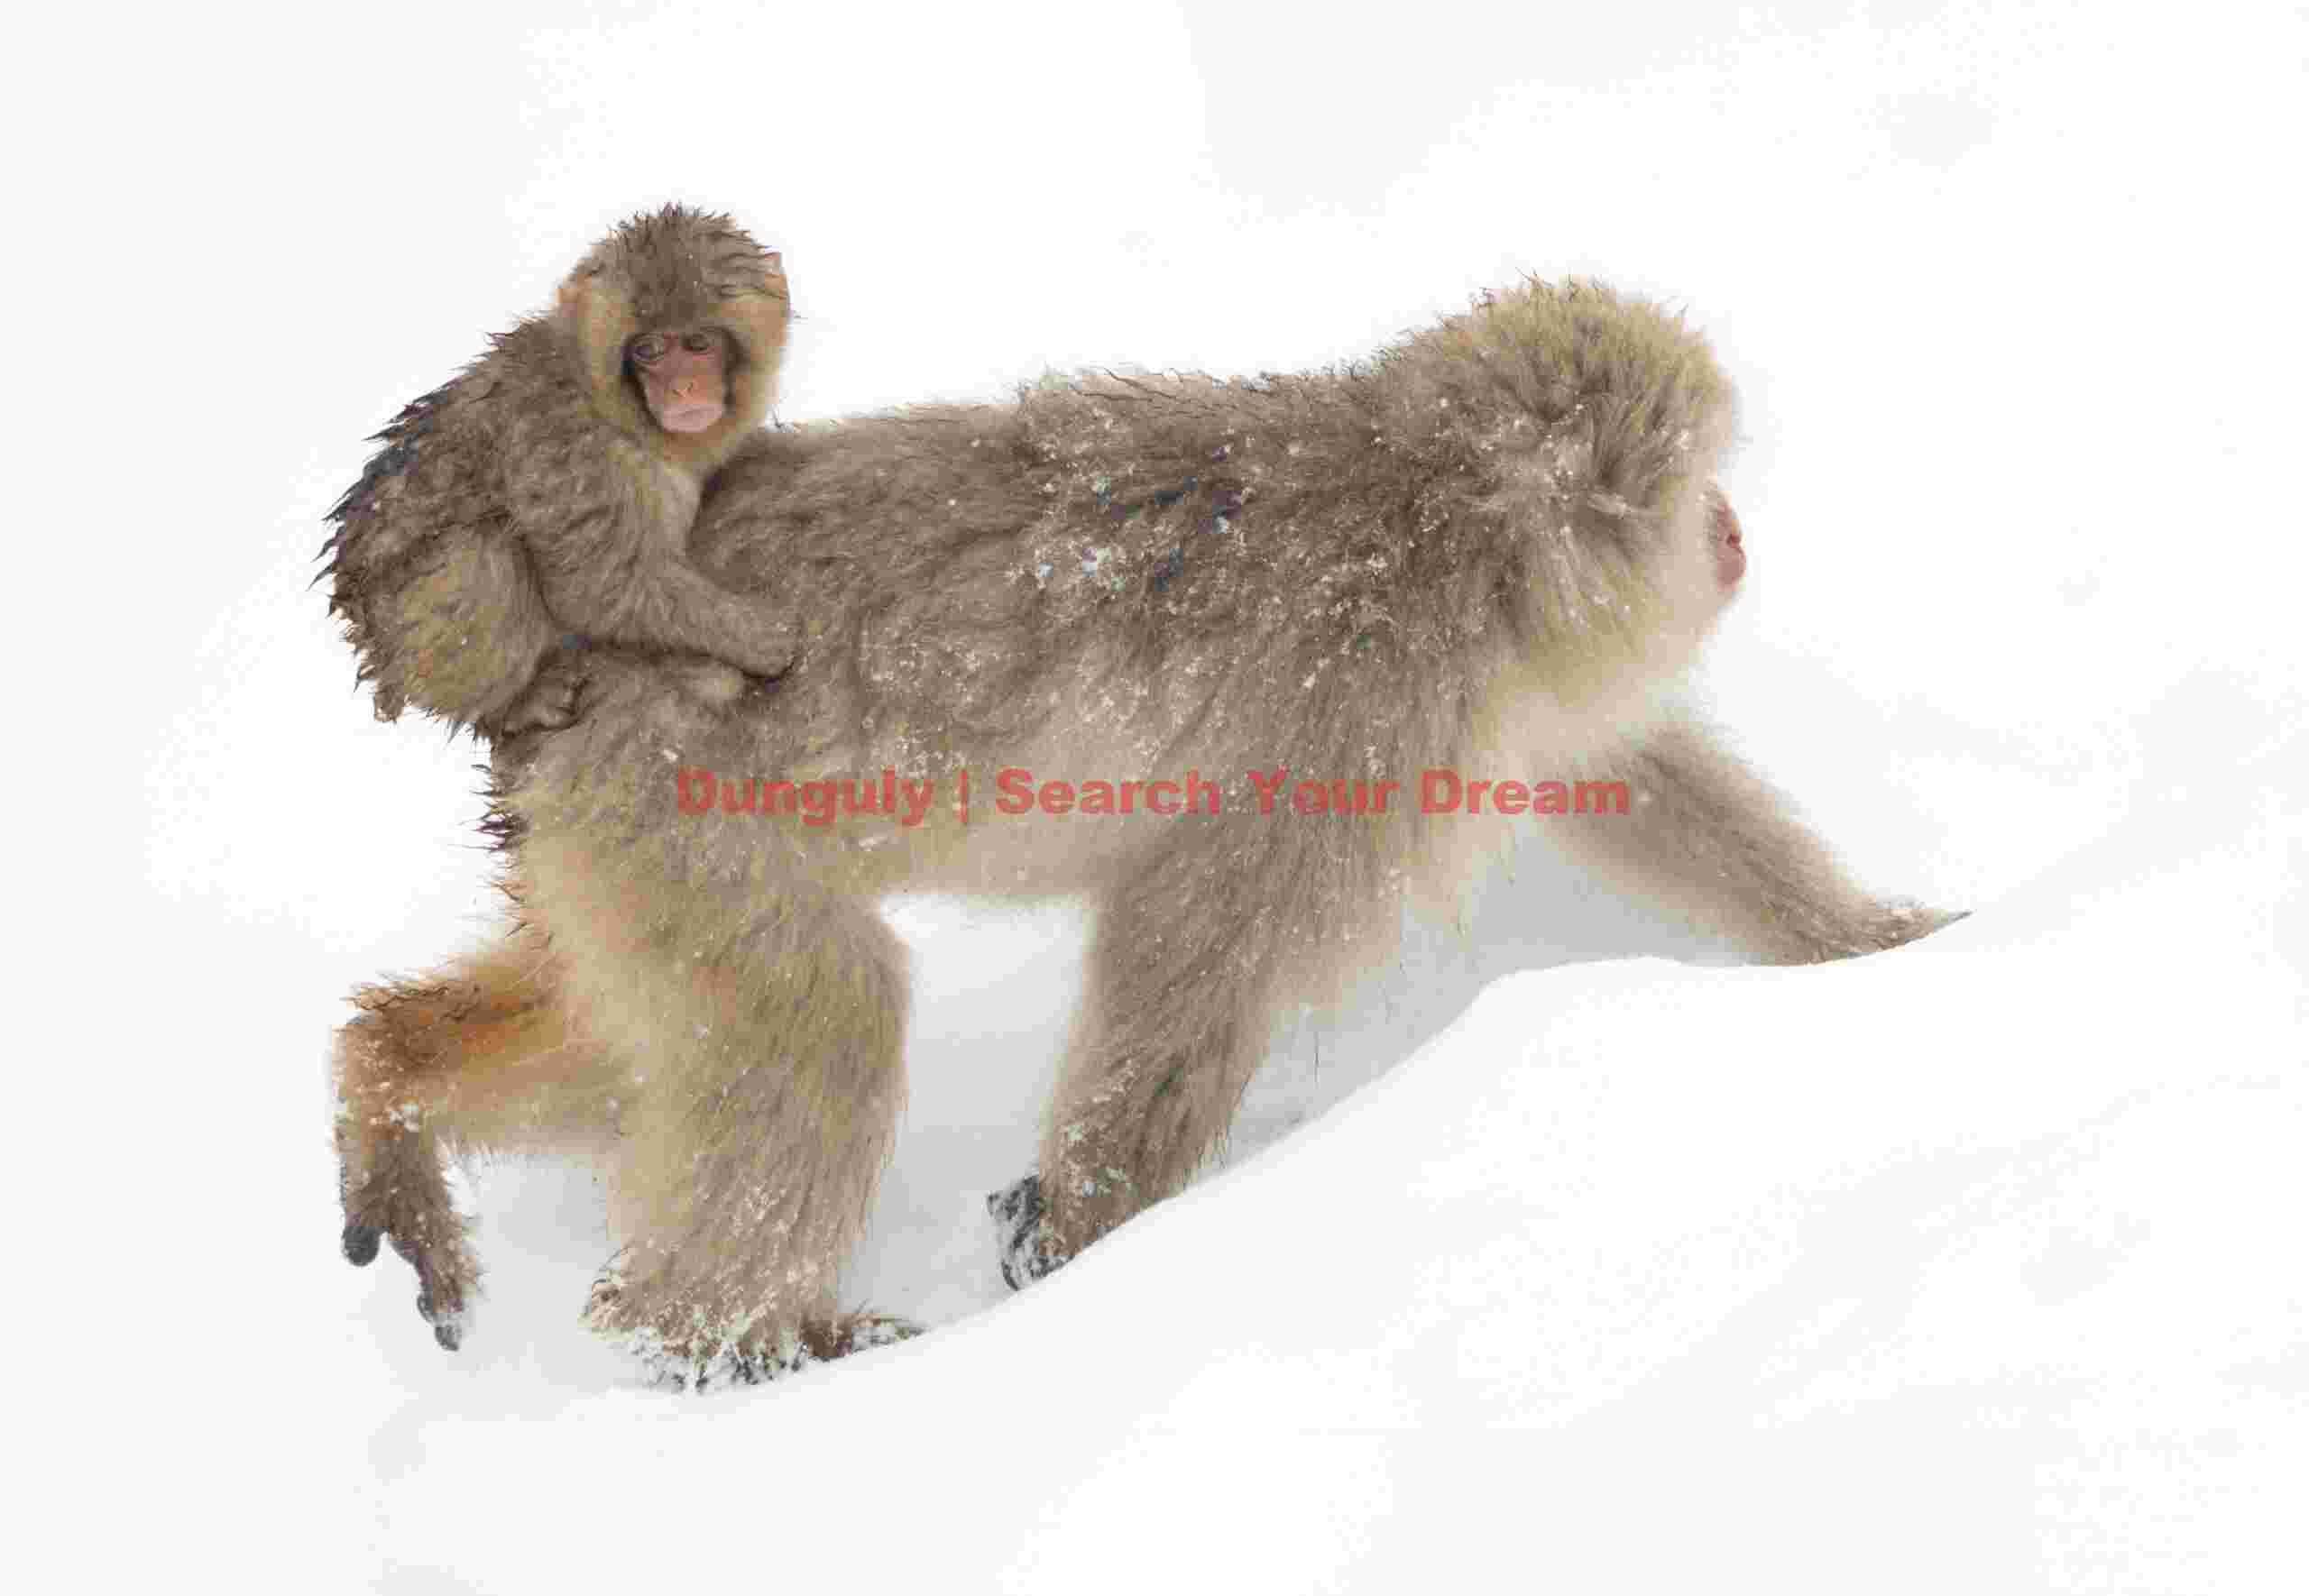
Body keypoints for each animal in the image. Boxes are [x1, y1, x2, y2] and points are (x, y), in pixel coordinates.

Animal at [327, 215, 1960, 1388]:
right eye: (1689, 491)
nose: (1734, 536)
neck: (1442, 526)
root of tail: (558, 670)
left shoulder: (1496, 686)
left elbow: (1626, 775)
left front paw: (1874, 943)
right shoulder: (1363, 705)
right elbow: (1196, 937)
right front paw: (1087, 1233)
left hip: (610, 852)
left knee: (630, 1033)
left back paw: (395, 1082)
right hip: (675, 815)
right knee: (818, 1011)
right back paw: (717, 1339)